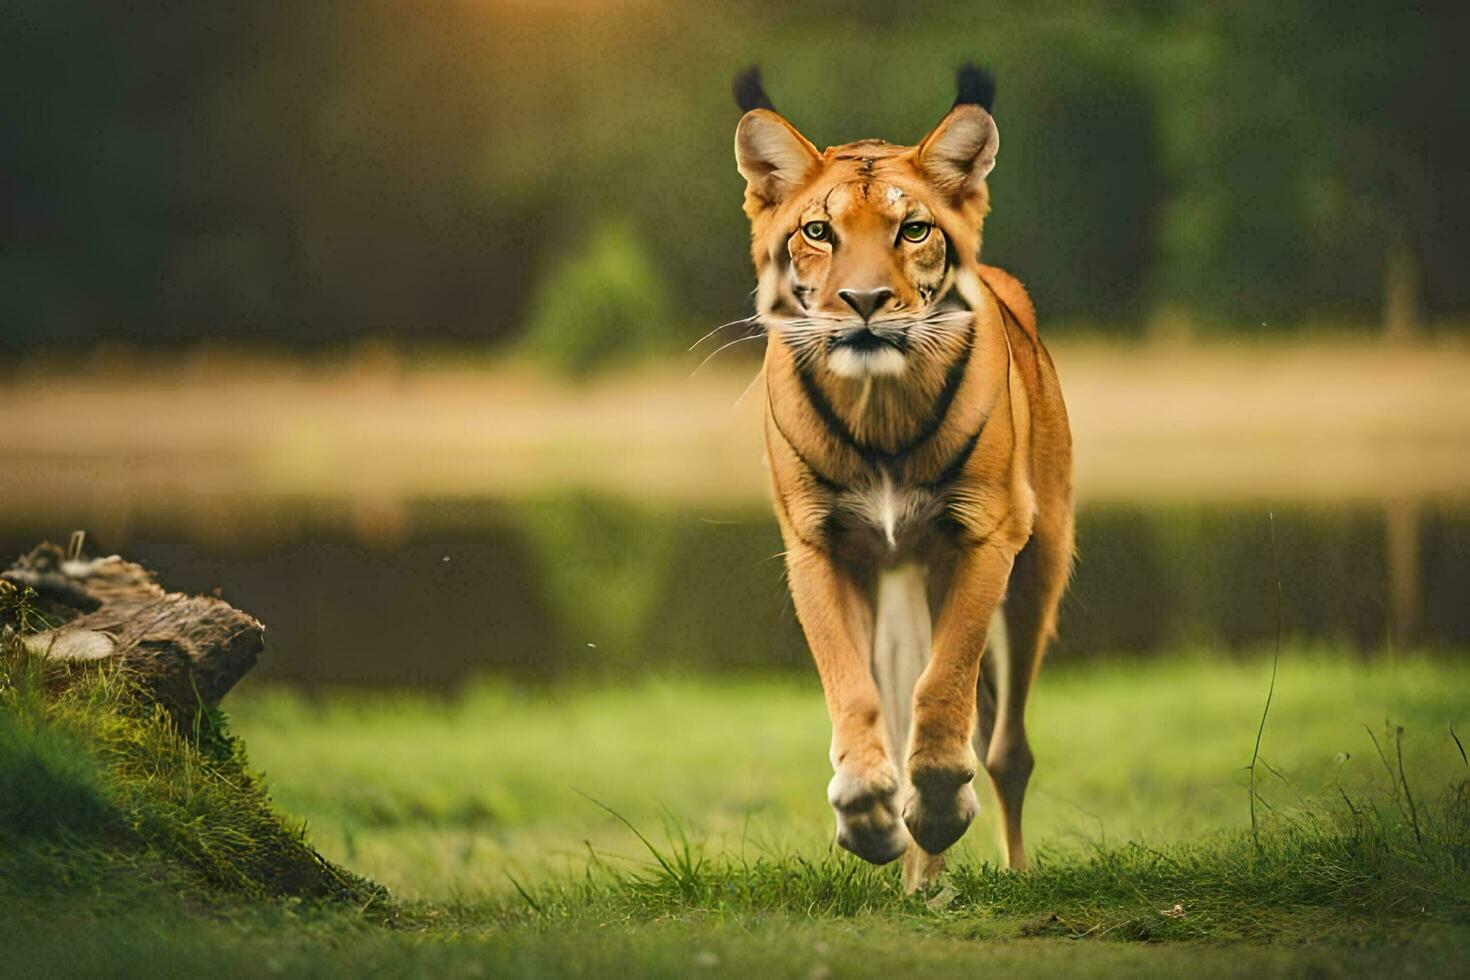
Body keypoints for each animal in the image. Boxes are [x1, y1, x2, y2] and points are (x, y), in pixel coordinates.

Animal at [732, 61, 1070, 887]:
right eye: (818, 231)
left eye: (912, 229)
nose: (863, 301)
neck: (879, 403)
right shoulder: (817, 545)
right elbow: (853, 690)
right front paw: (867, 813)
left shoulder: (985, 535)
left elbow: (944, 687)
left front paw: (938, 808)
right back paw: (916, 869)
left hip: (1039, 569)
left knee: (1010, 748)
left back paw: (984, 867)